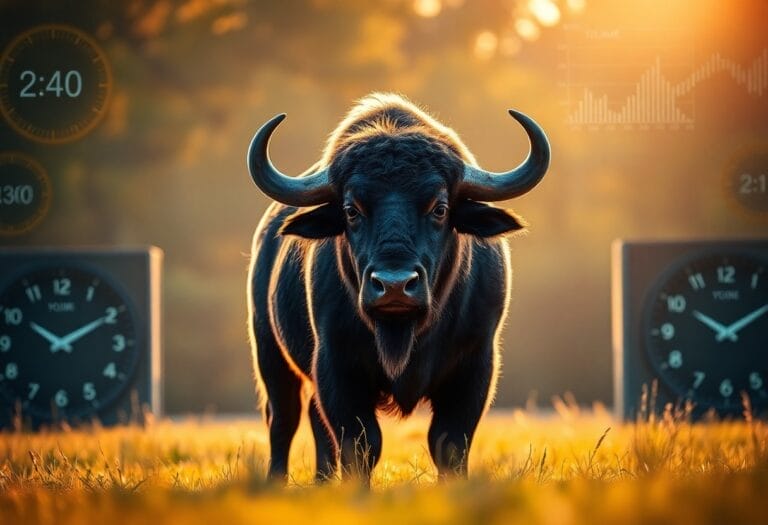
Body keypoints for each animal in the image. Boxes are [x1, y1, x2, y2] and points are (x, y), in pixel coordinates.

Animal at [246, 93, 550, 483]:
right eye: (352, 209)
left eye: (440, 208)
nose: (394, 286)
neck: (401, 335)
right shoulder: (336, 365)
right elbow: (361, 444)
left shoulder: (475, 364)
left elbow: (449, 443)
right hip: (269, 352)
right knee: (283, 419)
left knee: (313, 420)